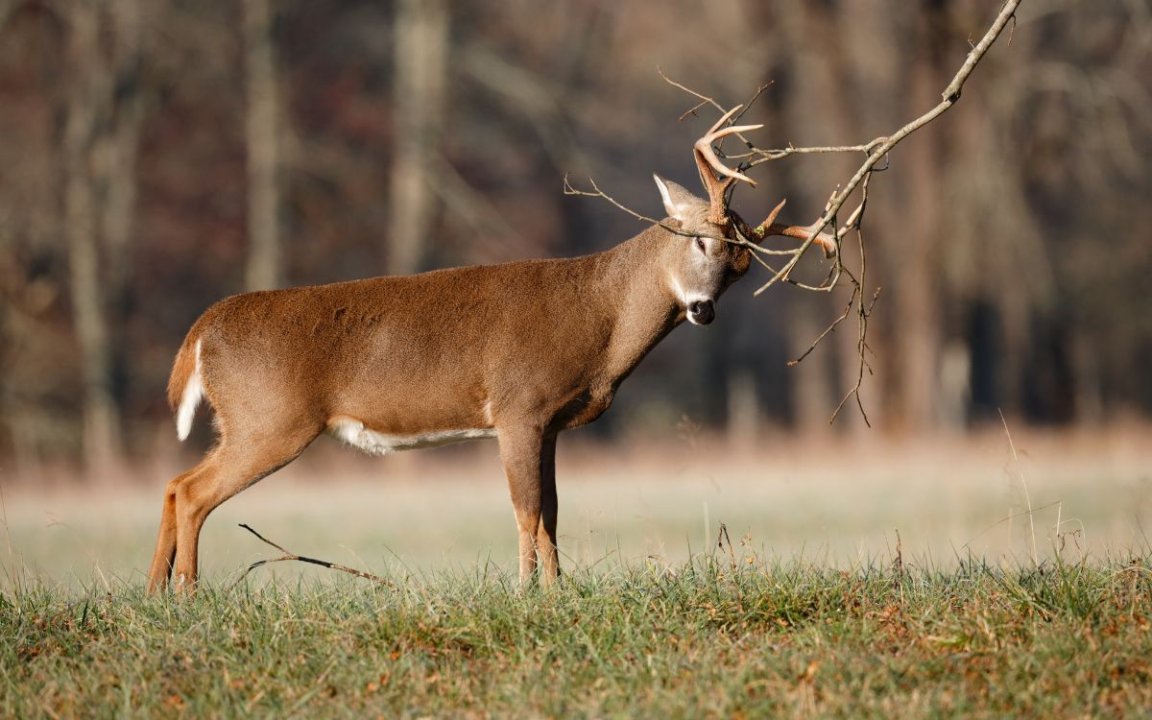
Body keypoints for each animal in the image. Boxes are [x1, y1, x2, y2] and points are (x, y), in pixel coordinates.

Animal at [147, 108, 836, 593]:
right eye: (696, 240)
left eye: (742, 268)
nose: (703, 309)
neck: (600, 317)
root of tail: (202, 330)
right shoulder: (517, 407)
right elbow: (526, 511)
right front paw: (528, 592)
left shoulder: (548, 421)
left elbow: (552, 511)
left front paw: (559, 592)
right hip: (271, 419)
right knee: (194, 491)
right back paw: (186, 594)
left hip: (249, 422)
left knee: (175, 483)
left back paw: (157, 593)